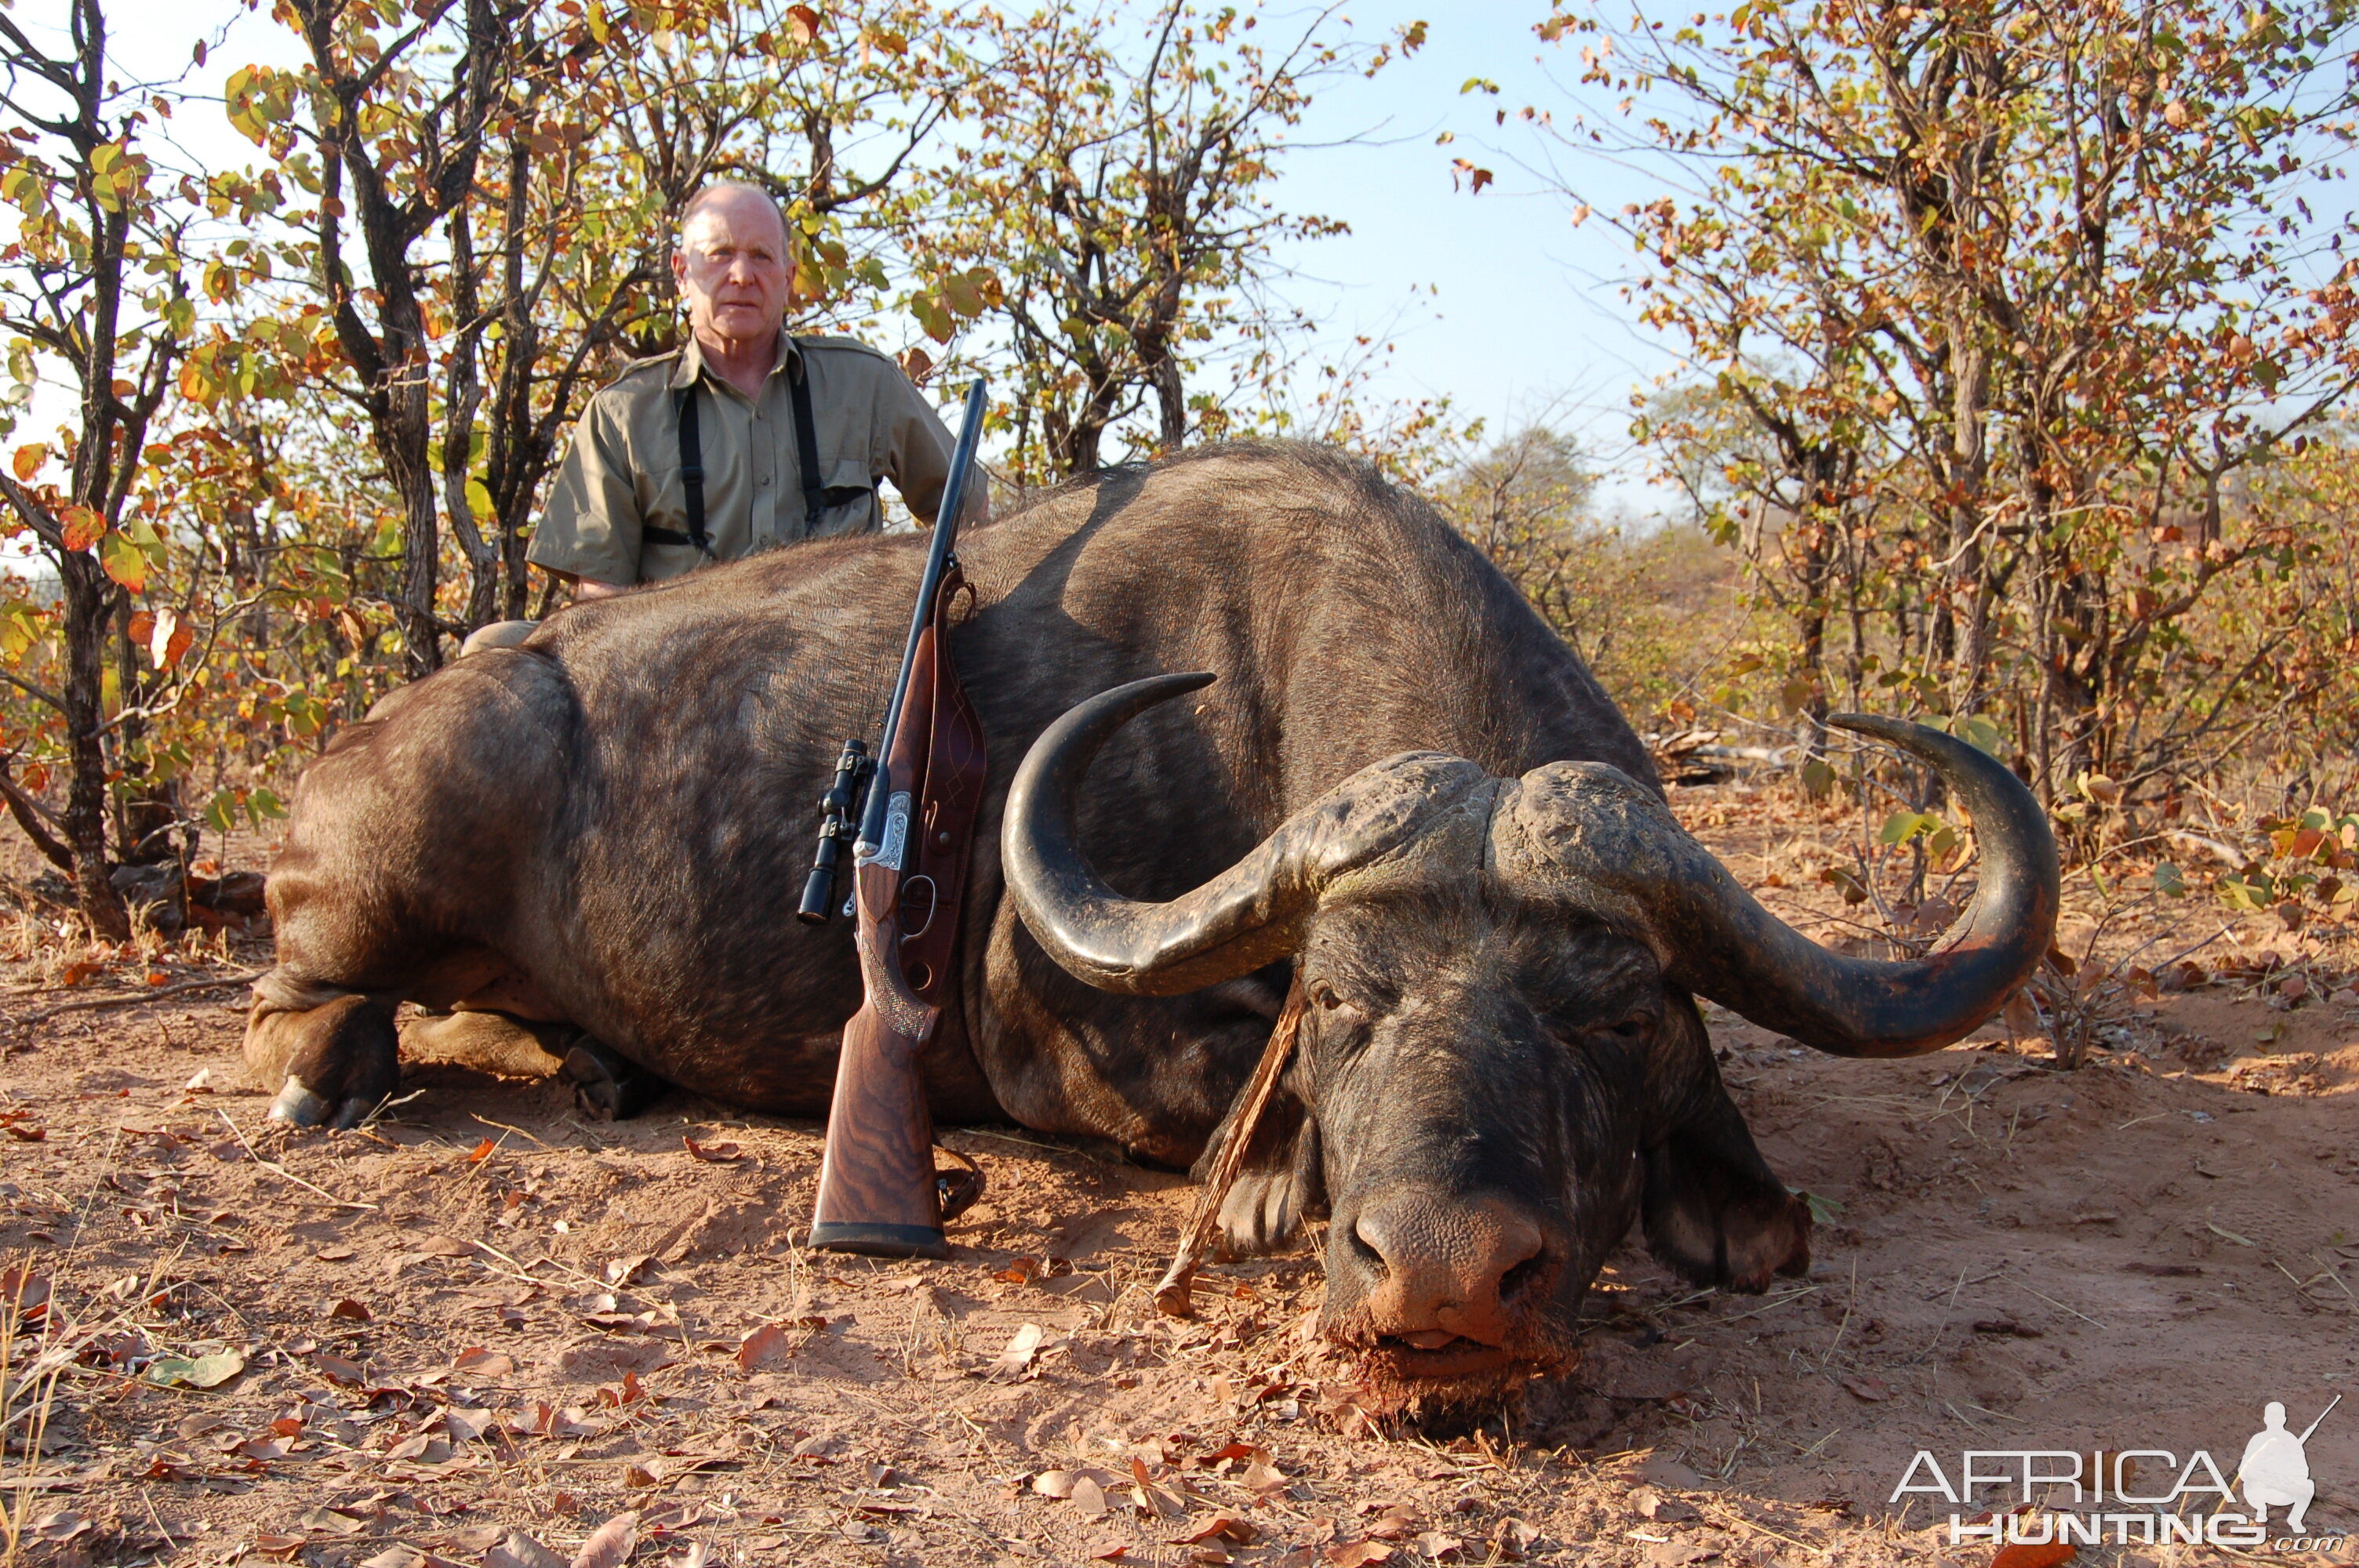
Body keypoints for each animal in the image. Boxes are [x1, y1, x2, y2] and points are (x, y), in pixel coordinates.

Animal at [253, 441, 2047, 1405]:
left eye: (1610, 1018)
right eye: (1342, 1005)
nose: (1445, 1280)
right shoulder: (1054, 1044)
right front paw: (1264, 1190)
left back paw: (597, 1065)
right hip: (376, 875)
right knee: (313, 998)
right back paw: (337, 1073)